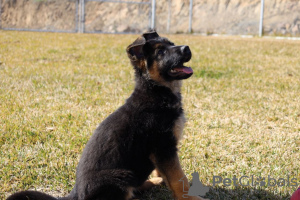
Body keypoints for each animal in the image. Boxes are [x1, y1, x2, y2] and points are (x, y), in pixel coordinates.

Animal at [7, 30, 205, 200]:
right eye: (161, 52)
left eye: (171, 44)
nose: (187, 48)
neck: (156, 90)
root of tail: (75, 195)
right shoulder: (163, 146)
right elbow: (179, 178)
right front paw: (190, 197)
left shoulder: (162, 150)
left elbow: (166, 173)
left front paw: (162, 180)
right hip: (121, 176)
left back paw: (153, 181)